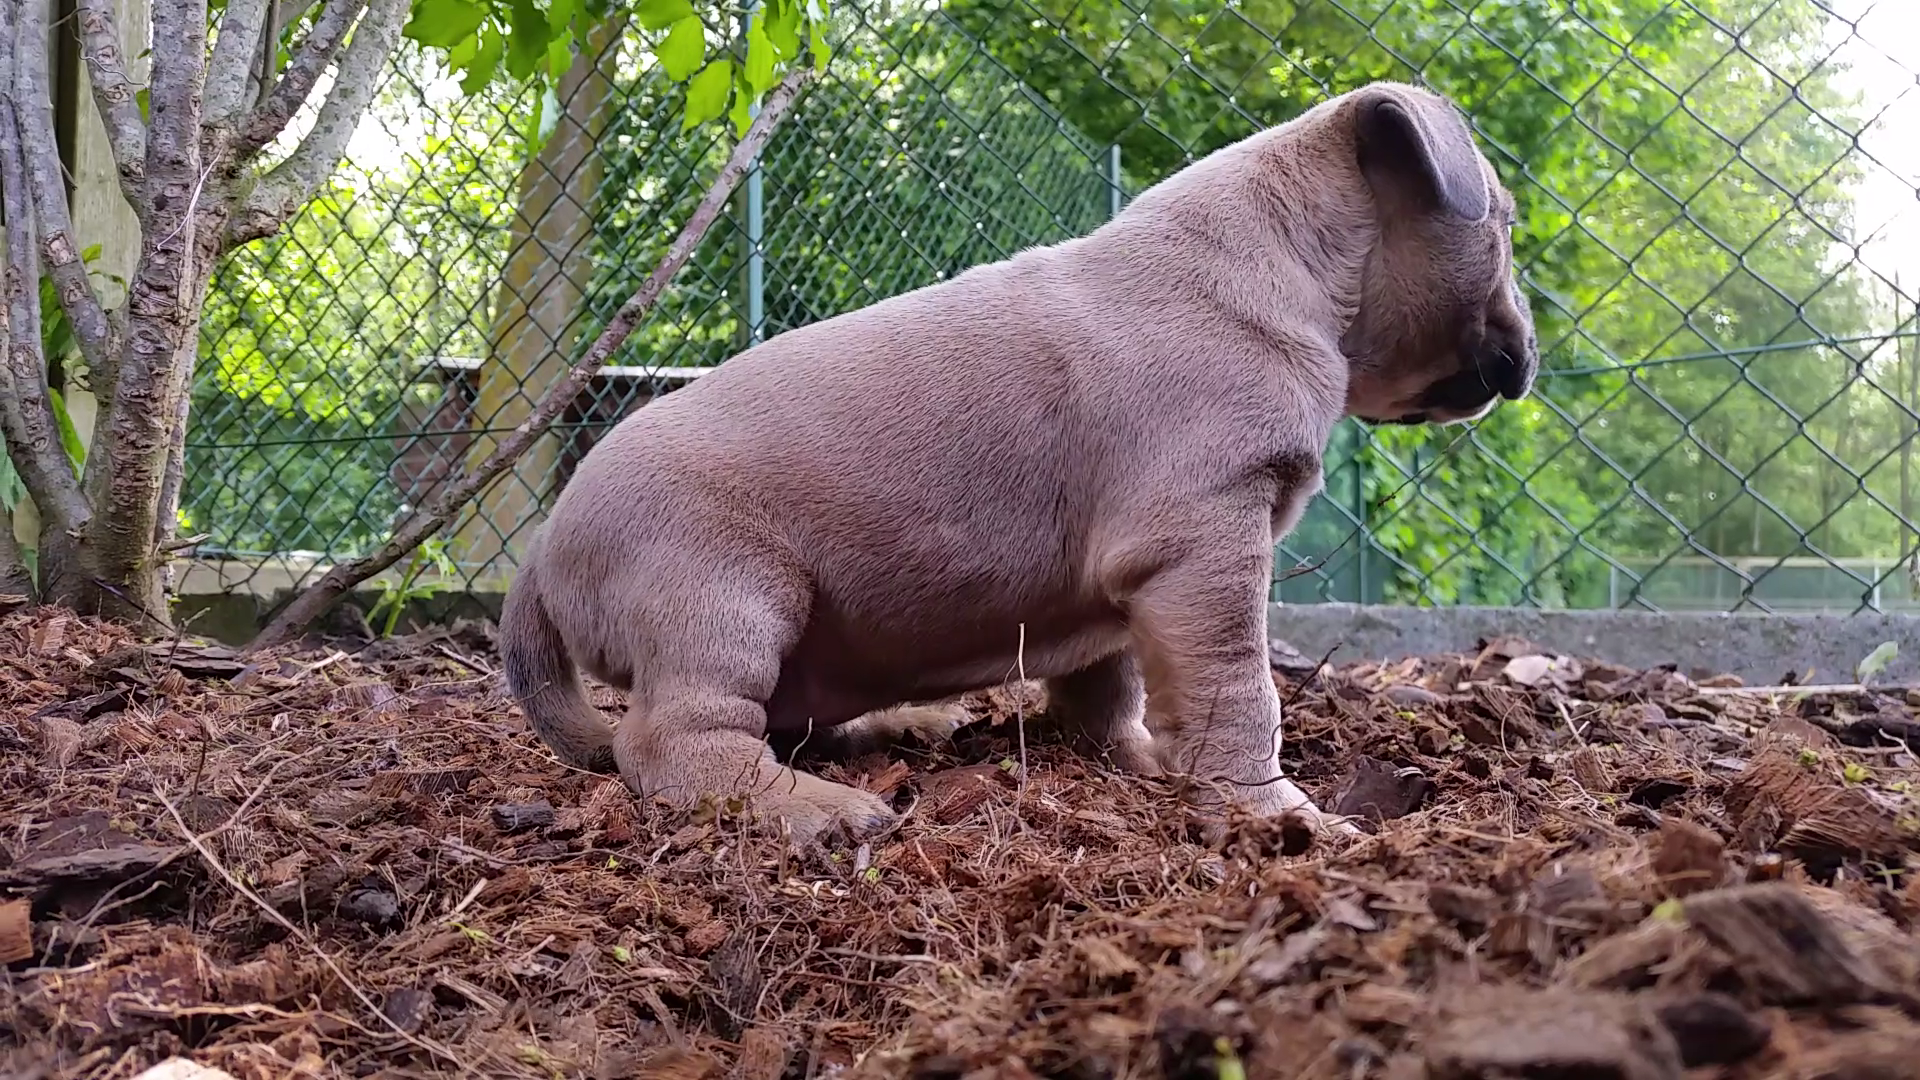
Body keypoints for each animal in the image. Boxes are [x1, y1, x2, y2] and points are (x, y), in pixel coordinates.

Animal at [503, 79, 1536, 845]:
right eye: (1507, 227)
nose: (1525, 352)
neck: (1292, 260)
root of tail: (544, 551)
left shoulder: (1138, 586)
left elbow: (1117, 686)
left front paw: (1140, 760)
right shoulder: (1207, 547)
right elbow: (1242, 693)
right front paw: (1273, 811)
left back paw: (890, 729)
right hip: (727, 603)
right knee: (678, 741)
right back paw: (814, 808)